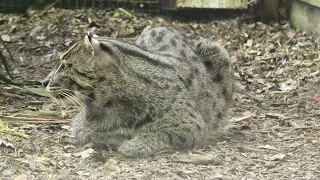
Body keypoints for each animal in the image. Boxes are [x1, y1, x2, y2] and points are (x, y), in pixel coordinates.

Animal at [43, 26, 234, 158]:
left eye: (64, 66)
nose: (43, 81)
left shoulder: (191, 124)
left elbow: (160, 132)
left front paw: (134, 145)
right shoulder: (80, 120)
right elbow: (83, 132)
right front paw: (112, 138)